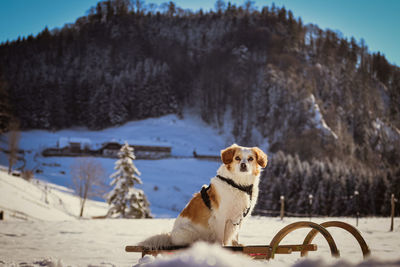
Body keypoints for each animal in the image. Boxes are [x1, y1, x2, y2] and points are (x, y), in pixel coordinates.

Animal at [138, 144, 268, 249]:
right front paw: (221, 247)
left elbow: (235, 234)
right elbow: (221, 236)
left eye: (251, 159)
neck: (239, 184)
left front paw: (236, 244)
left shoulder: (239, 217)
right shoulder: (220, 217)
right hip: (188, 232)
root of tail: (170, 236)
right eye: (237, 158)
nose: (243, 165)